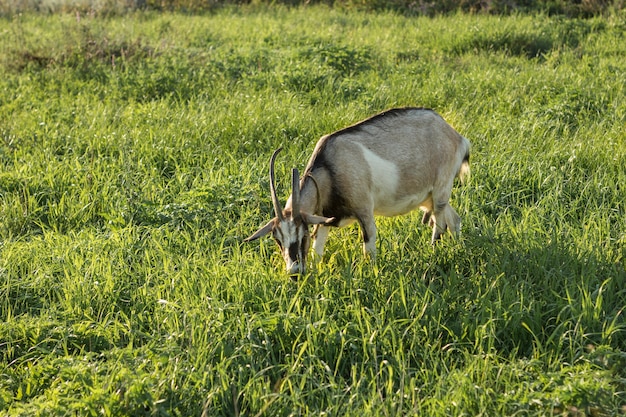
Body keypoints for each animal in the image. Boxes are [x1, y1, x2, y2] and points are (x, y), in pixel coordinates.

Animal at [244, 107, 468, 272]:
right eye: (277, 239)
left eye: (302, 234)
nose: (294, 273)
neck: (330, 167)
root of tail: (456, 137)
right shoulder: (326, 218)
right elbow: (318, 251)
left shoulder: (364, 211)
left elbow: (369, 251)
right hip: (429, 198)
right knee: (453, 220)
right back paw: (457, 249)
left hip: (440, 189)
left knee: (440, 225)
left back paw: (434, 253)